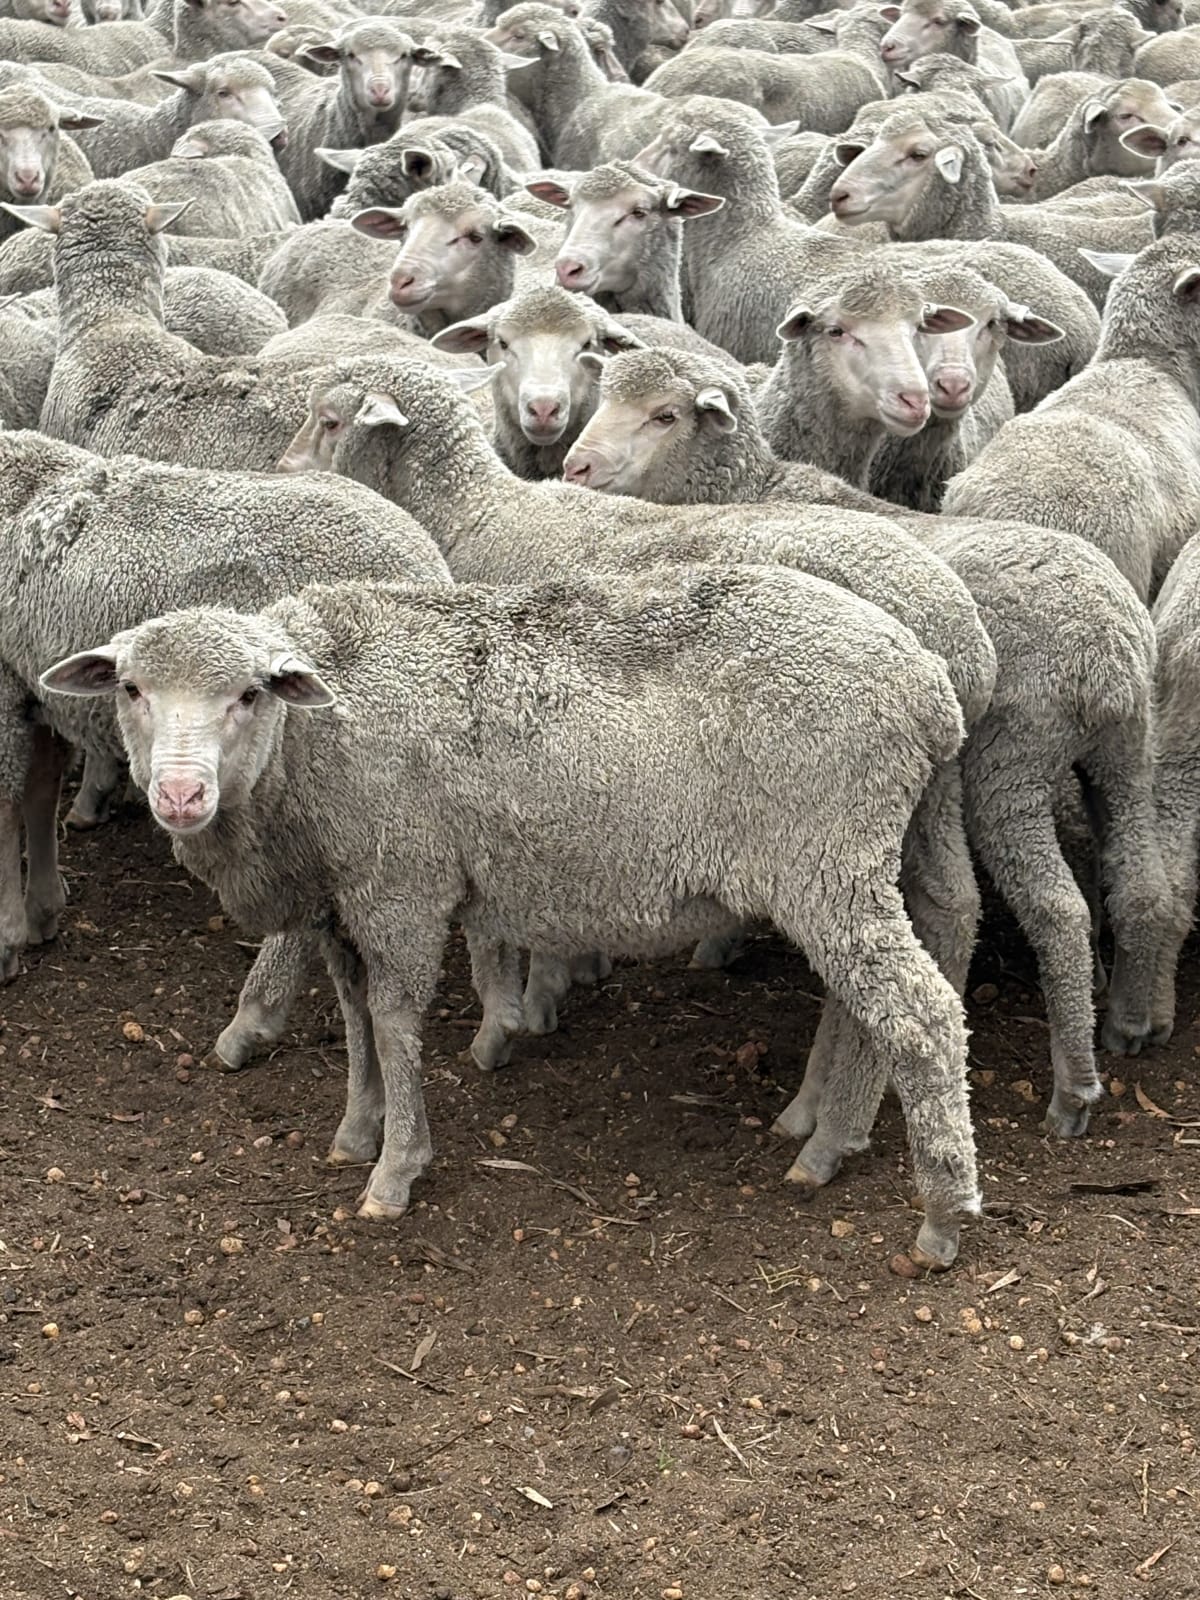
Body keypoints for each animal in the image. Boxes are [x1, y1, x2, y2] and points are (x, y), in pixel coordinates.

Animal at [0, 424, 448, 993]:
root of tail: (427, 566)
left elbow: (6, 807)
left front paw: (7, 937)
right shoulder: (30, 686)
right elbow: (39, 790)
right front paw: (42, 910)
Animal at [563, 343, 1166, 1136]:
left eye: (664, 414)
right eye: (602, 396)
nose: (575, 468)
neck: (752, 486)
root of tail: (1110, 645)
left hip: (1012, 763)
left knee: (1057, 912)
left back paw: (1073, 1091)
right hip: (1126, 750)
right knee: (1140, 877)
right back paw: (1131, 1022)